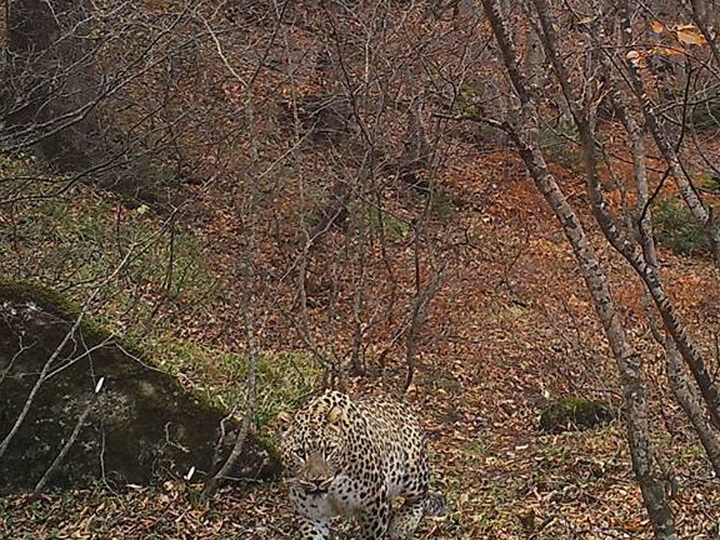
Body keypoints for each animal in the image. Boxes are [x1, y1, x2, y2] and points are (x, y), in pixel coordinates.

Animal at [278, 390, 442, 536]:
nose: (318, 481)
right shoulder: (311, 515)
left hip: (414, 471)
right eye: (300, 453)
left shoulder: (375, 504)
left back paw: (402, 524)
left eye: (329, 450)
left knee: (420, 498)